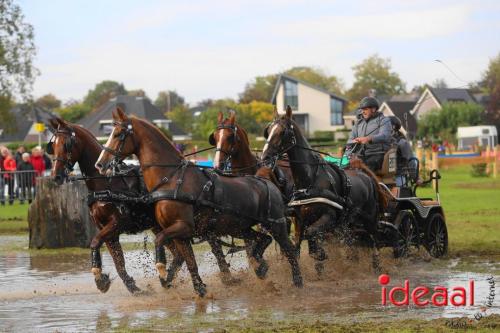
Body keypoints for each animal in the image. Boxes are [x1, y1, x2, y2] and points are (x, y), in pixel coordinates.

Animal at [95, 107, 302, 296]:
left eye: (119, 134)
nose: (100, 164)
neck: (172, 179)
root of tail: (266, 180)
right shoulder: (180, 234)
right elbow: (190, 262)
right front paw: (198, 288)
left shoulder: (183, 227)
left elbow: (159, 240)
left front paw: (162, 271)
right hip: (240, 227)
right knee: (263, 240)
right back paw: (261, 266)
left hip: (277, 224)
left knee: (290, 250)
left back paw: (297, 281)